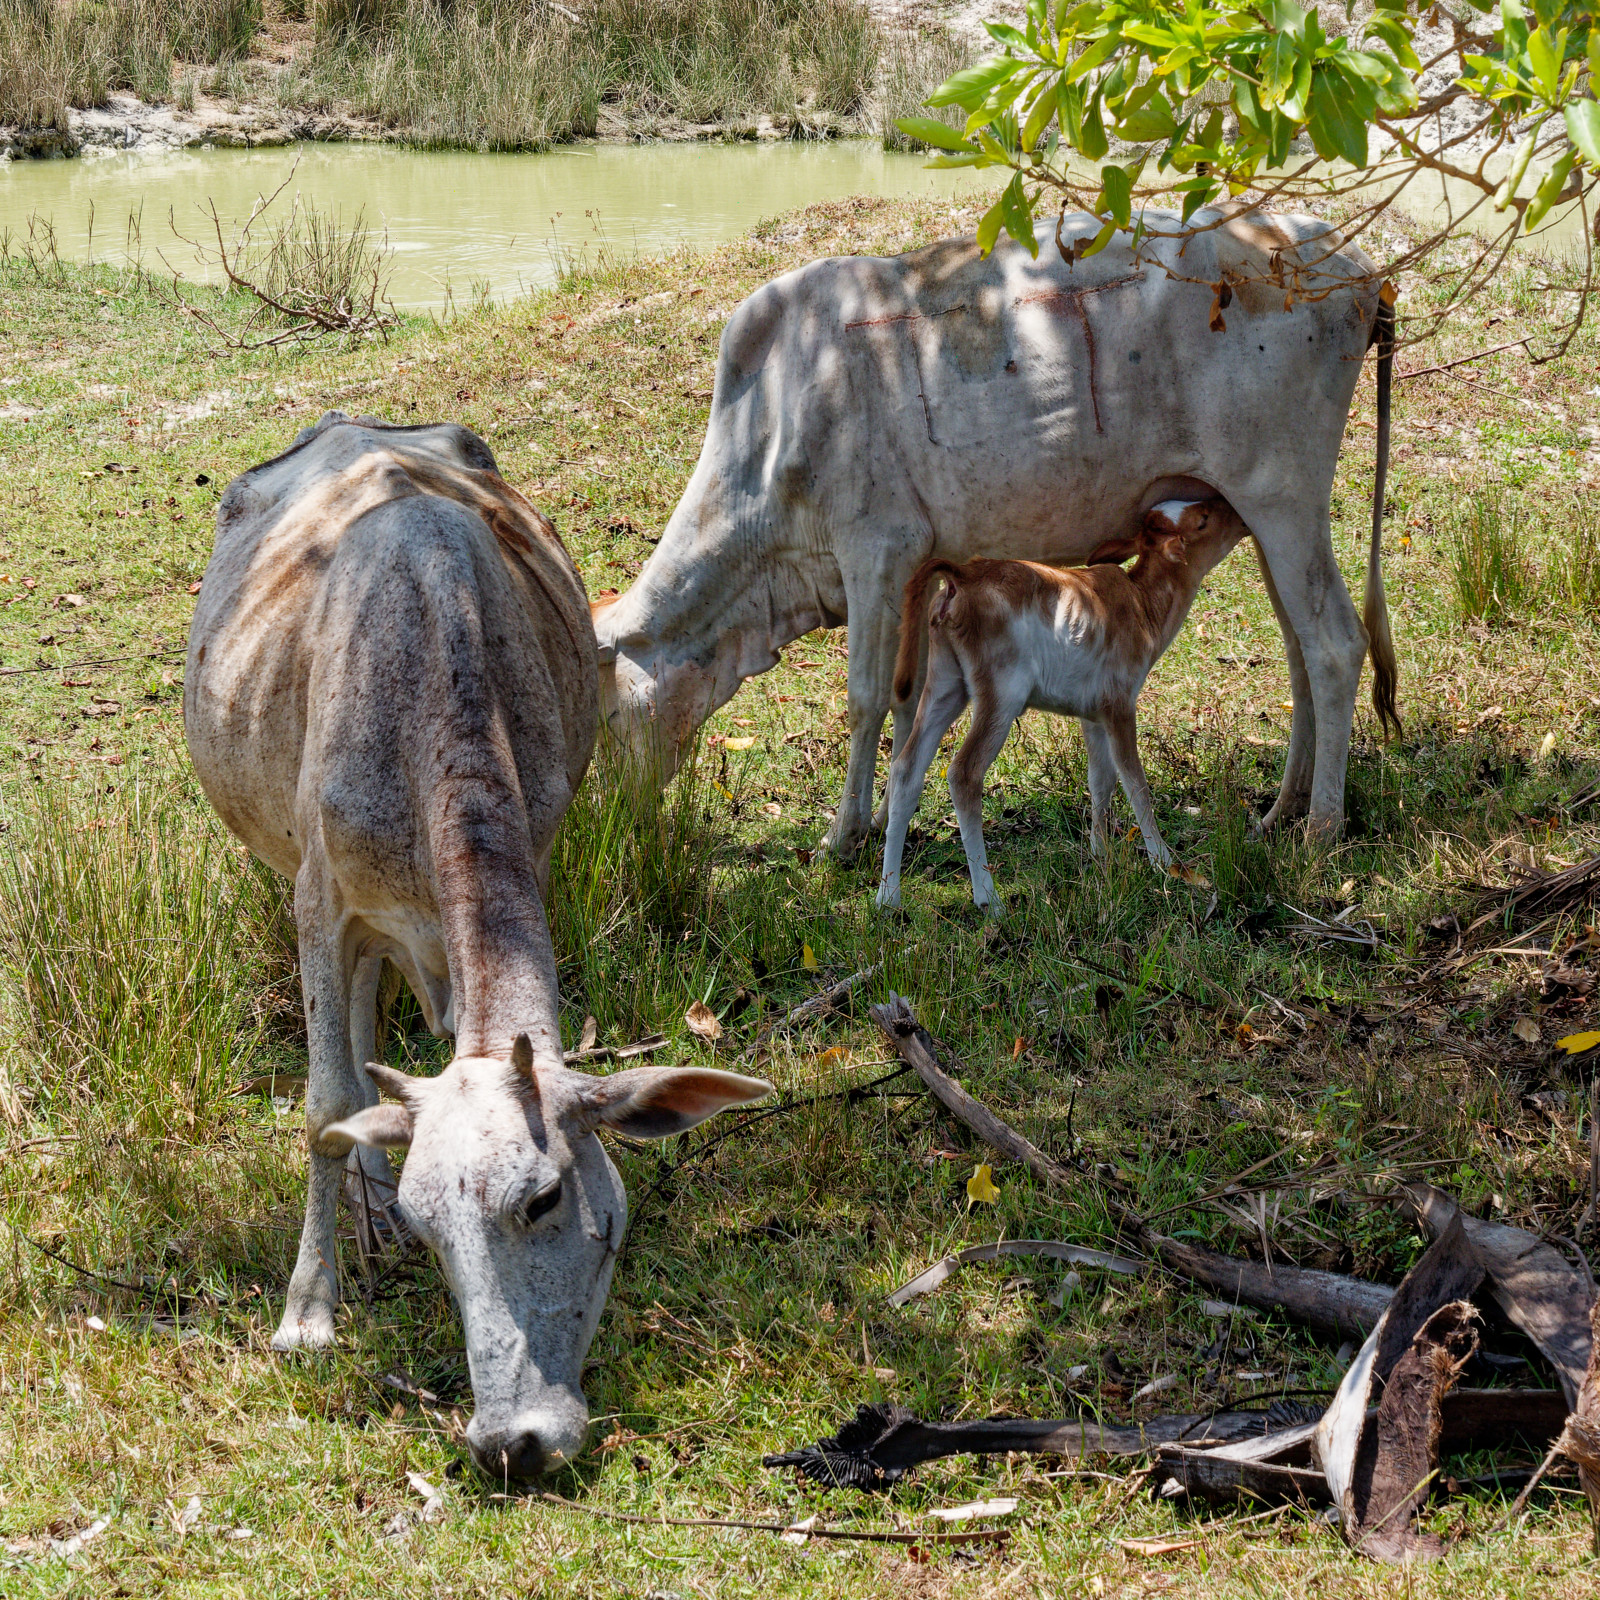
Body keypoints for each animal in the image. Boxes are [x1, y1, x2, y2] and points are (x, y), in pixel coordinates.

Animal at [185, 413, 770, 1479]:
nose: (511, 1442)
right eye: (433, 1227)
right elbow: (324, 1097)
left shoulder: (530, 846)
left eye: (542, 1199)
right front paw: (308, 1312)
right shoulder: (317, 897)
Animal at [592, 205, 1397, 860]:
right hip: (1258, 513)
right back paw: (1280, 811)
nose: (612, 819)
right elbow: (909, 698)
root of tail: (1355, 264)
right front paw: (889, 815)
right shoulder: (920, 571)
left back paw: (1320, 829)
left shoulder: (874, 553)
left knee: (1333, 642)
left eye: (606, 723)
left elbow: (865, 699)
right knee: (1298, 647)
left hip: (1283, 496)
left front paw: (840, 837)